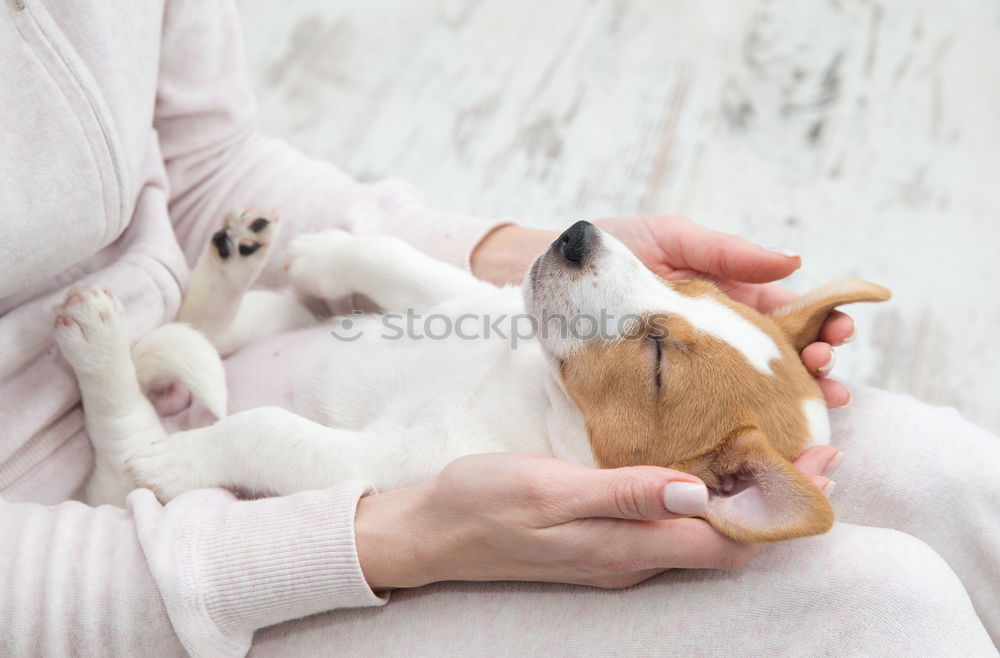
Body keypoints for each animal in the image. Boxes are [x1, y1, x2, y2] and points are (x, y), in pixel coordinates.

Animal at [54, 214, 892, 540]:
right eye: (690, 285)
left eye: (656, 358)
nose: (577, 235)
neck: (532, 387)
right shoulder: (462, 299)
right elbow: (395, 260)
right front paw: (328, 254)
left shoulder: (389, 464)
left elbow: (269, 431)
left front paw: (187, 459)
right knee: (206, 330)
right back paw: (232, 268)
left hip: (116, 469)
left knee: (123, 435)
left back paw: (101, 345)